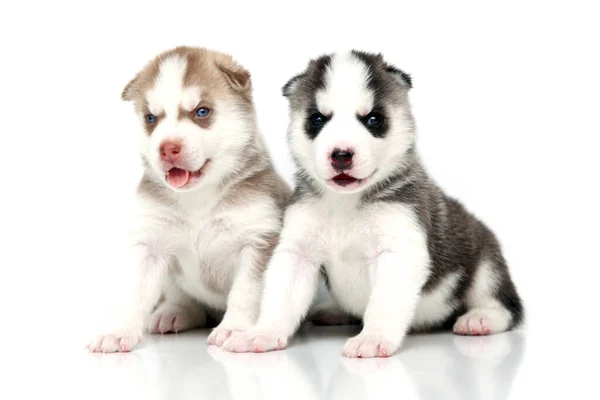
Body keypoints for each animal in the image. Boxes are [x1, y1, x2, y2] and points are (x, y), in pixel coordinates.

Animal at [86, 47, 290, 354]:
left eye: (201, 112)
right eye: (151, 118)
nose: (168, 148)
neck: (198, 198)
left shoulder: (258, 240)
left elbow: (245, 292)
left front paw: (234, 328)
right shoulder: (151, 242)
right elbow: (137, 292)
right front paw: (120, 331)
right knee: (184, 300)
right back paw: (174, 313)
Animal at [221, 50, 524, 360]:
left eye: (374, 119)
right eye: (317, 119)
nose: (341, 155)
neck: (345, 202)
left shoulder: (398, 249)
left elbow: (383, 303)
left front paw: (373, 337)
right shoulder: (298, 251)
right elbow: (280, 299)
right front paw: (262, 332)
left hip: (486, 262)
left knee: (506, 305)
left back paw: (481, 318)